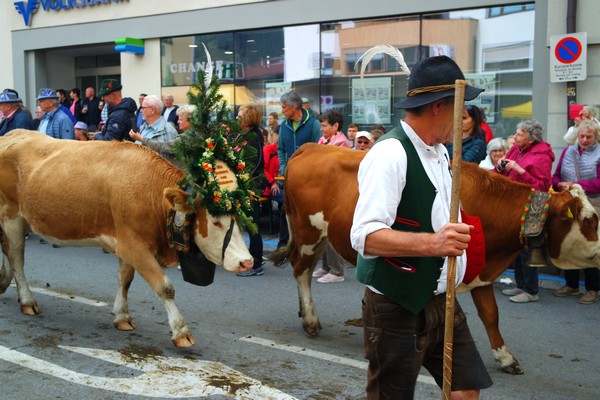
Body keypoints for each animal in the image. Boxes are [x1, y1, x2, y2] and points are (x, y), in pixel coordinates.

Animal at [0, 130, 253, 346]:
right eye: (216, 221)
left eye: (239, 219)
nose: (247, 262)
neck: (151, 192)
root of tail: (11, 134)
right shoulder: (135, 246)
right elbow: (165, 287)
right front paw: (181, 331)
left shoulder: (126, 241)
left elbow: (125, 280)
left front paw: (122, 316)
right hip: (12, 216)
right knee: (16, 257)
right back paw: (27, 301)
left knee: (7, 252)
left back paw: (4, 282)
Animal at [272, 142, 600, 374]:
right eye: (589, 220)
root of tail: (311, 146)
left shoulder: (482, 271)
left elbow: (491, 315)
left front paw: (505, 358)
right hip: (308, 232)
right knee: (301, 270)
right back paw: (311, 320)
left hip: (322, 236)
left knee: (305, 270)